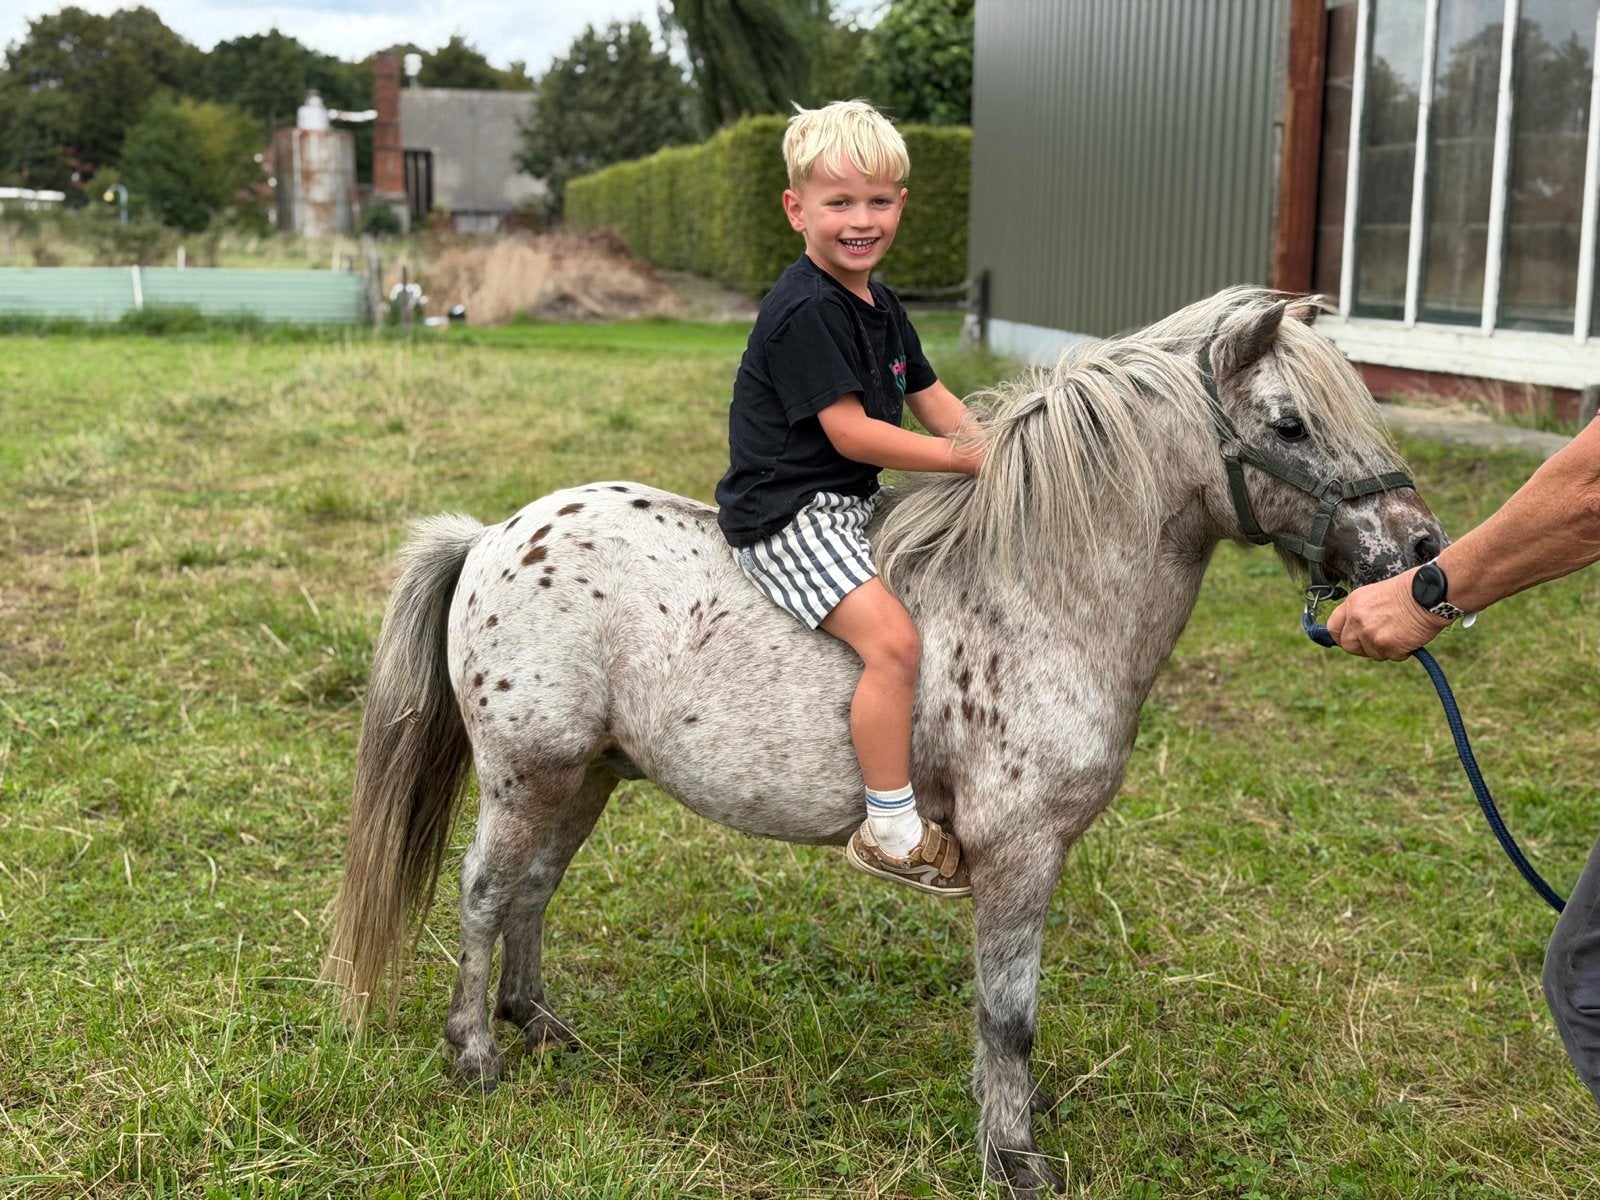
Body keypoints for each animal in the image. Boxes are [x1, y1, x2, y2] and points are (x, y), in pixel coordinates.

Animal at [325, 287, 1445, 1196]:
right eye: (1289, 423)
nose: (1422, 553)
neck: (1038, 590)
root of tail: (494, 537)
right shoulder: (1020, 851)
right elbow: (1007, 1013)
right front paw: (1013, 1158)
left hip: (588, 776)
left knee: (533, 890)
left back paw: (538, 1025)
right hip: (528, 775)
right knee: (484, 890)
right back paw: (475, 1053)